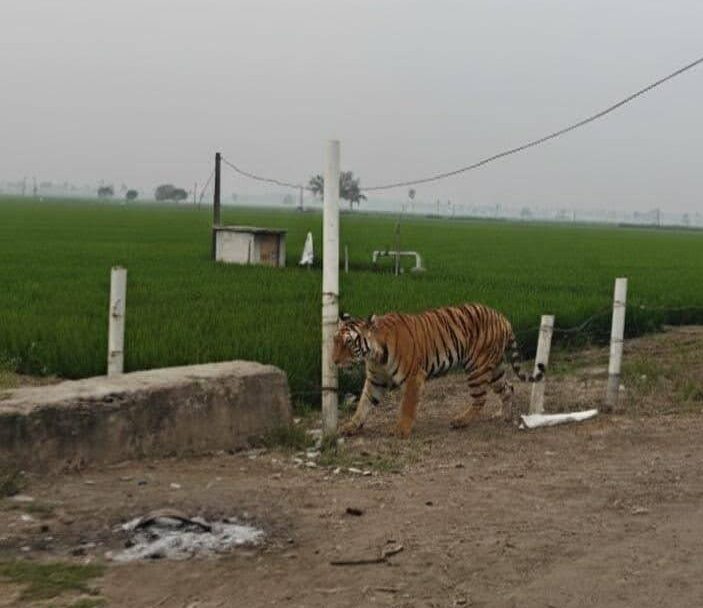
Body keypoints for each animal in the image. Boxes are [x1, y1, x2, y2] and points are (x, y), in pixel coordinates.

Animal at [332, 303, 544, 438]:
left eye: (349, 343)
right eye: (335, 340)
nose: (333, 361)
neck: (375, 355)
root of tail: (502, 317)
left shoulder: (413, 377)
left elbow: (407, 406)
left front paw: (401, 430)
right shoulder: (376, 380)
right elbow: (364, 404)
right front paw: (351, 426)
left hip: (476, 367)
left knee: (480, 398)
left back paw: (460, 421)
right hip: (495, 369)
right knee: (508, 388)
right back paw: (504, 416)